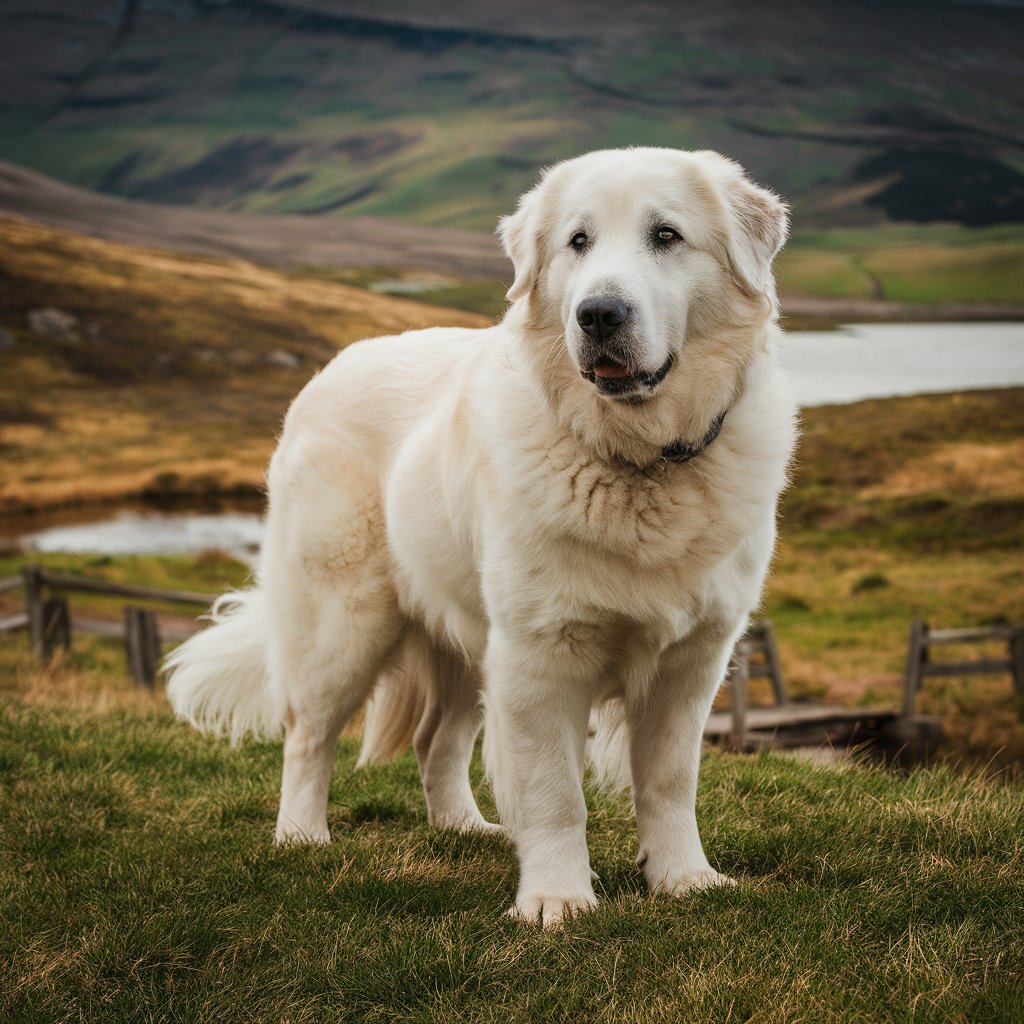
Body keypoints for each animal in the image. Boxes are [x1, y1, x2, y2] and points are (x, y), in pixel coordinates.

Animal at [163, 146, 794, 929]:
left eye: (667, 236)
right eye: (578, 242)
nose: (598, 314)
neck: (637, 461)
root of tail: (332, 367)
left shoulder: (692, 662)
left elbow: (669, 782)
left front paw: (683, 879)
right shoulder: (540, 655)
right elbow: (556, 795)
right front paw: (556, 899)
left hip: (469, 641)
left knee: (436, 741)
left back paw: (464, 828)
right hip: (345, 626)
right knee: (308, 736)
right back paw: (302, 837)